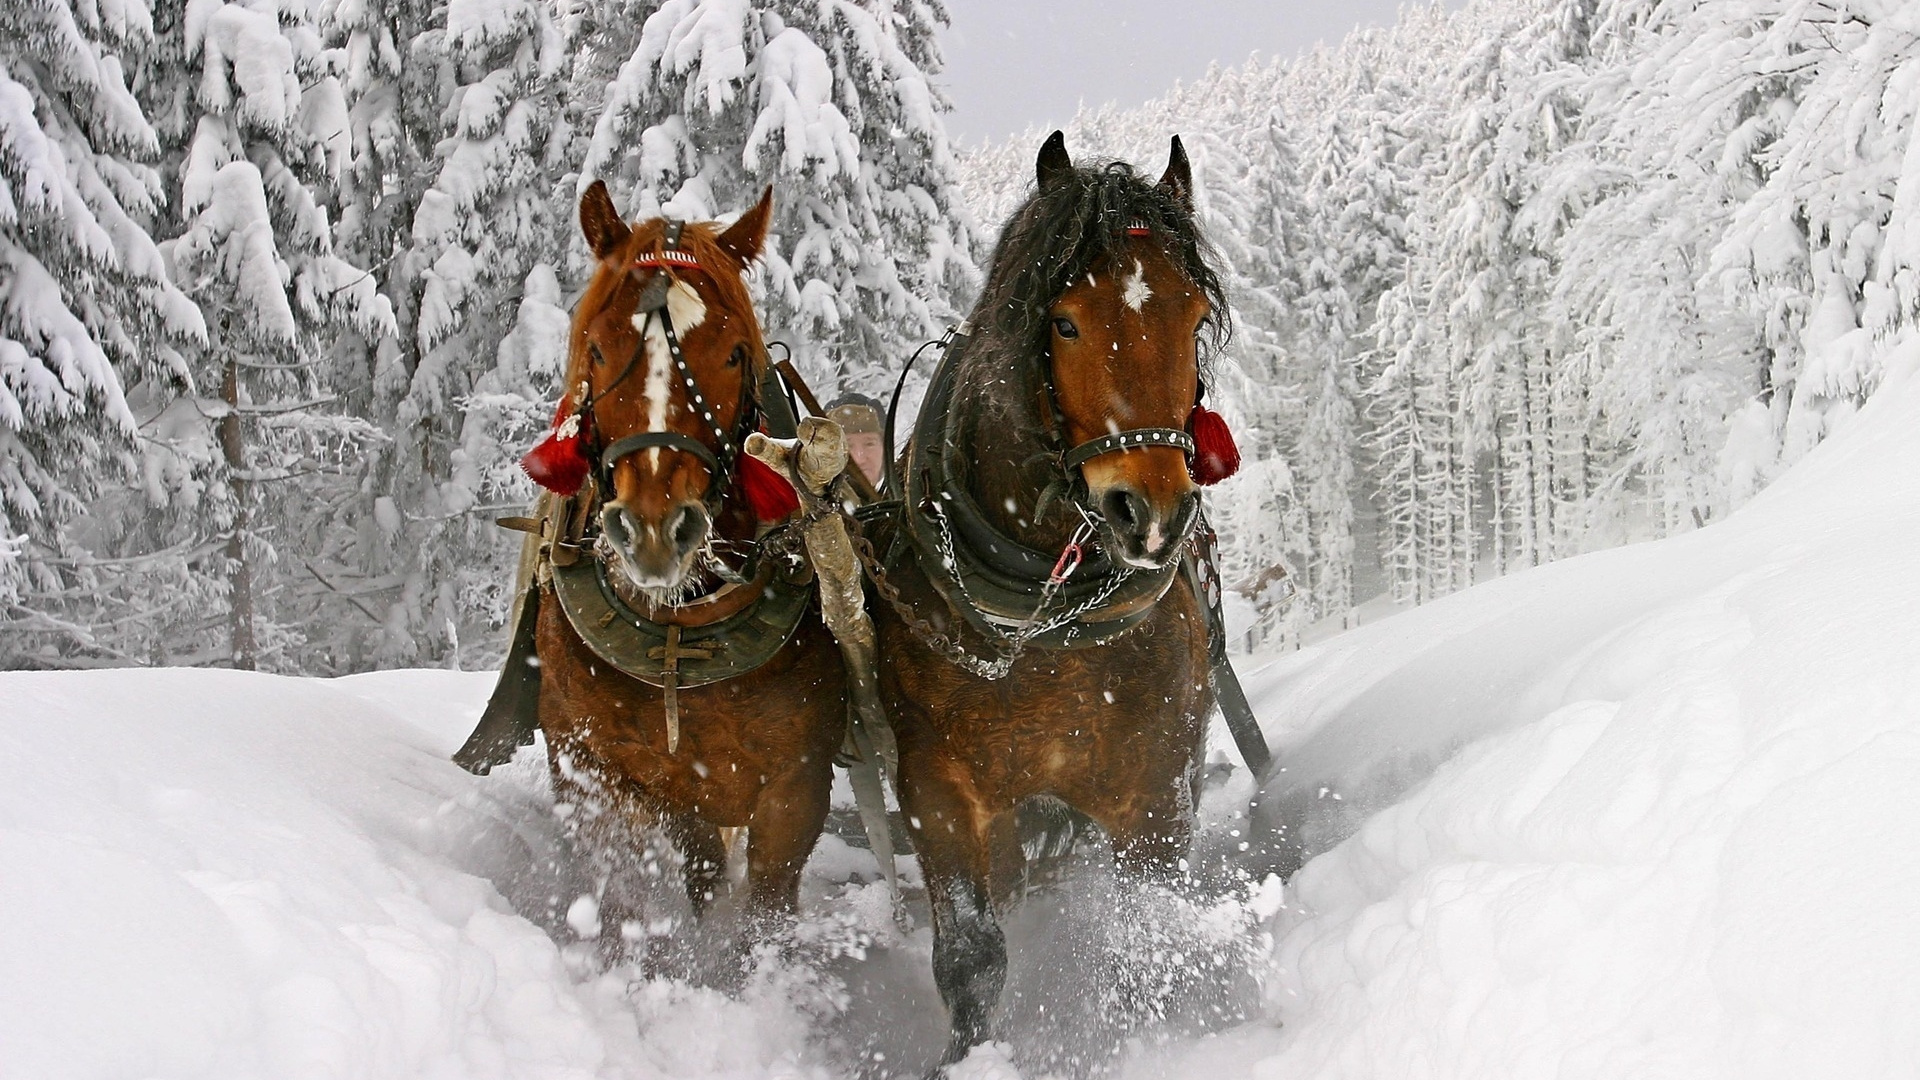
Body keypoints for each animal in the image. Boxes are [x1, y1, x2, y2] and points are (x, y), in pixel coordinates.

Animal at [502, 182, 848, 968]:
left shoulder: (796, 786)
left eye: (734, 354)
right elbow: (630, 898)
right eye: (598, 347)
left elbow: (765, 917)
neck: (678, 632)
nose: (656, 529)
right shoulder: (594, 771)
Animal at [866, 132, 1235, 1067]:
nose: (1151, 512)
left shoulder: (1156, 787)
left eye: (1193, 320)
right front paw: (966, 1059)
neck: (1044, 623)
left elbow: (1148, 935)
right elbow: (971, 957)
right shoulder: (937, 790)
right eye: (1064, 321)